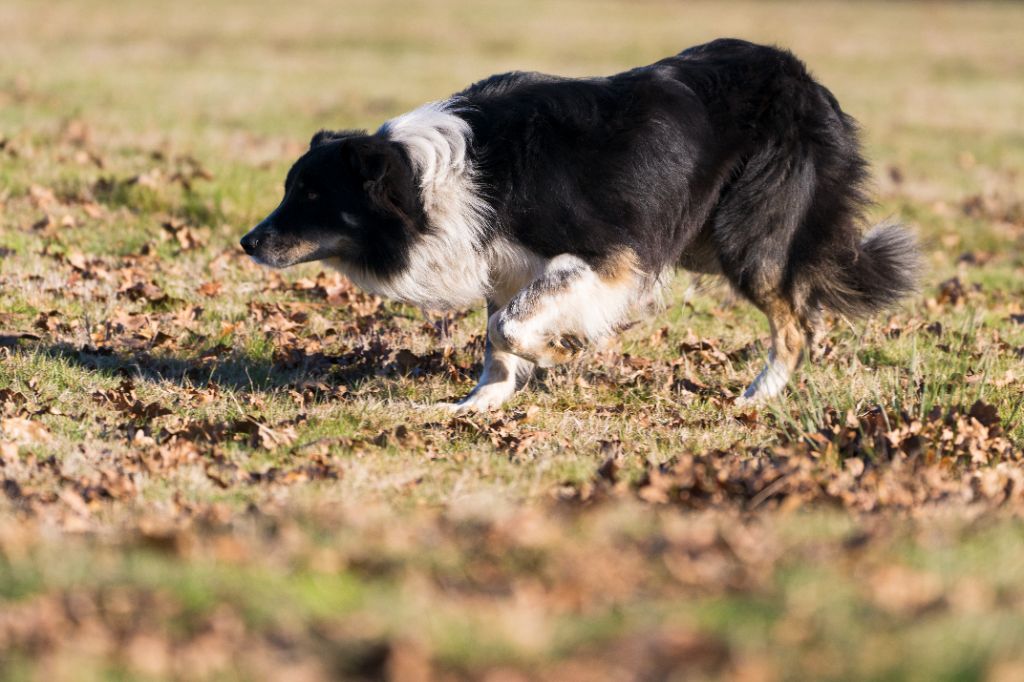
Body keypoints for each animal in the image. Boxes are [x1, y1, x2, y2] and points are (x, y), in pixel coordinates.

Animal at [241, 39, 921, 411]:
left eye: (311, 193)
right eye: (290, 188)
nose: (247, 243)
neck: (425, 182)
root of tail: (805, 79)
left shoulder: (605, 254)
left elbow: (512, 326)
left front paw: (557, 352)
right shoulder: (503, 262)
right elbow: (496, 334)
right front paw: (480, 403)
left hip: (744, 232)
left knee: (797, 321)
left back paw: (759, 394)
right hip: (697, 235)